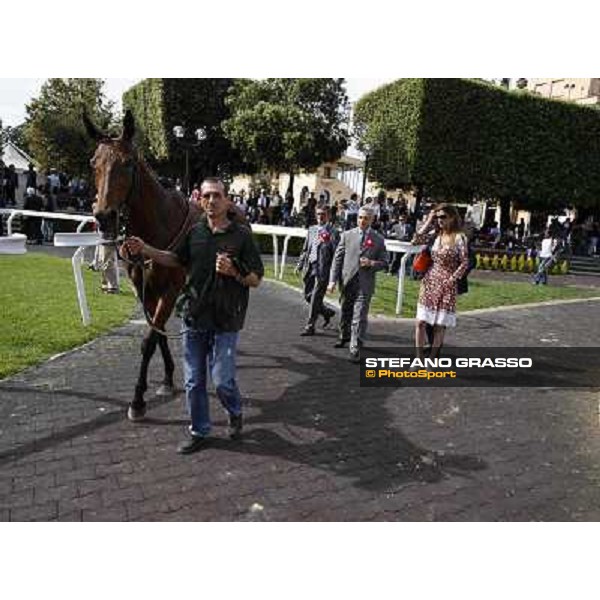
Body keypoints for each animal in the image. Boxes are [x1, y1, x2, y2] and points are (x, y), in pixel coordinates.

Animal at [83, 111, 199, 422]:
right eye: (94, 163)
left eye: (127, 163)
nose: (105, 216)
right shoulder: (144, 289)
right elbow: (157, 335)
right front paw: (167, 379)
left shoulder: (170, 289)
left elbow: (149, 340)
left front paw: (137, 400)